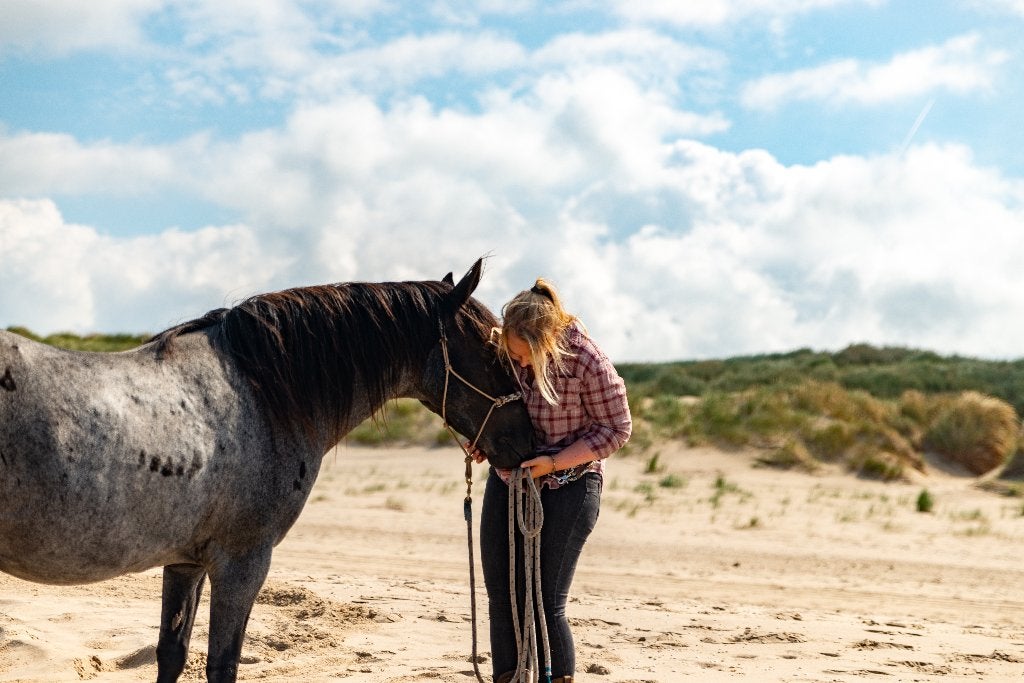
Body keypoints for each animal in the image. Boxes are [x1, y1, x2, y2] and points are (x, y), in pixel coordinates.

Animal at [0, 259, 534, 682]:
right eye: (495, 352)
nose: (529, 441)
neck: (262, 394)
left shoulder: (186, 563)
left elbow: (172, 654)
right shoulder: (243, 562)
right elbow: (222, 665)